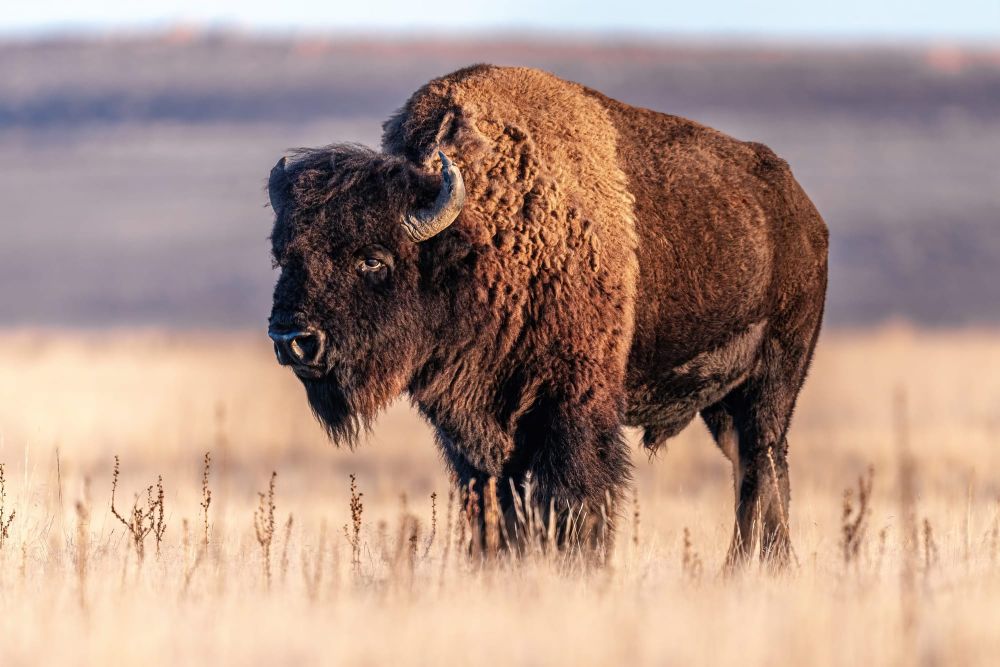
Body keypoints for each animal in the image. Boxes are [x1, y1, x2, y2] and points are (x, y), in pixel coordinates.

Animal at [266, 65, 828, 565]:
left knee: (761, 465)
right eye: (283, 256)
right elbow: (492, 504)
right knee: (753, 469)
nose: (293, 337)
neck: (479, 242)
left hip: (772, 382)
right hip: (724, 403)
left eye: (373, 259)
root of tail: (804, 213)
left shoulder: (574, 404)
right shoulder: (474, 431)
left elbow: (573, 498)